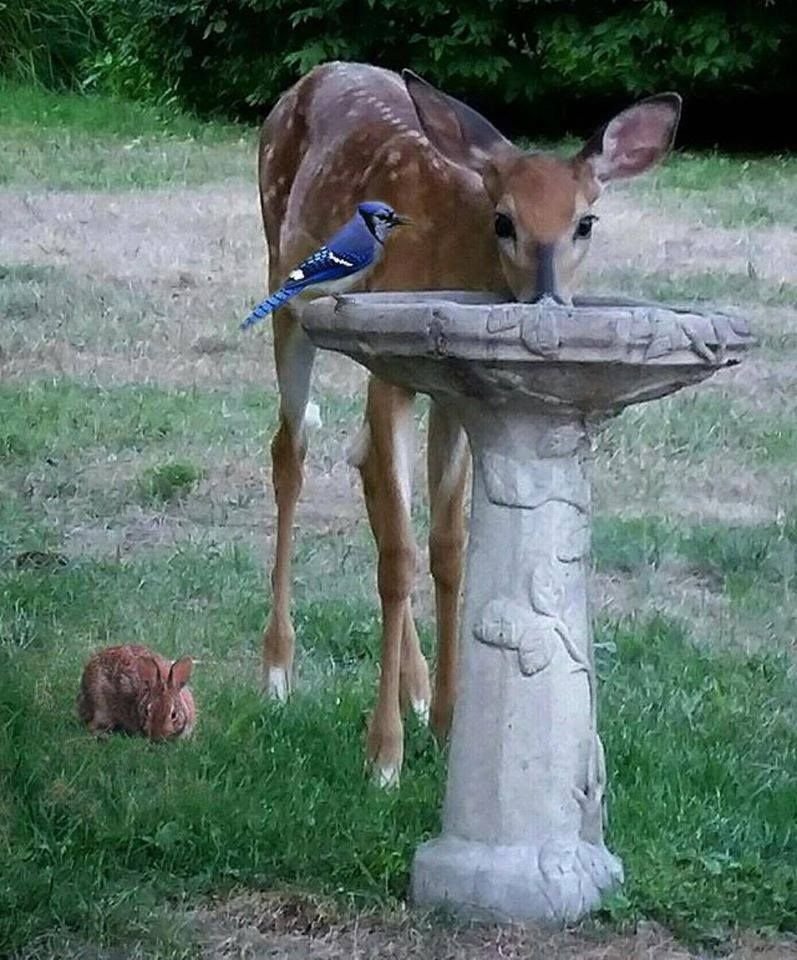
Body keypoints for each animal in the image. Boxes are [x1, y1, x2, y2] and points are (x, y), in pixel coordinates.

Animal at [257, 61, 681, 786]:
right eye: (503, 220)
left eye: (586, 222)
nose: (547, 301)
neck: (450, 249)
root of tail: (311, 76)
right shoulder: (393, 374)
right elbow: (400, 558)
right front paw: (384, 754)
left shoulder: (458, 391)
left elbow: (448, 547)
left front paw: (451, 723)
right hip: (283, 284)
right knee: (292, 450)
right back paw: (278, 670)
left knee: (363, 462)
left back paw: (419, 687)